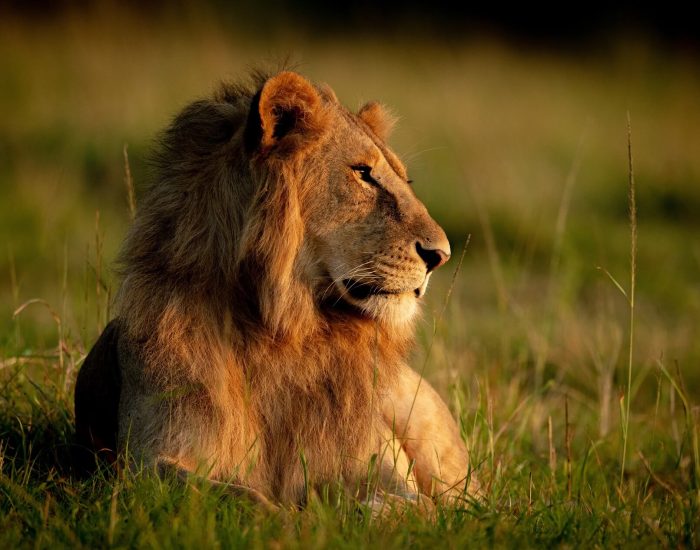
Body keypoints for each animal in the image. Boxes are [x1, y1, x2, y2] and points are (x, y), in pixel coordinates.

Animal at [74, 71, 479, 510]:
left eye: (405, 180)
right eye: (362, 173)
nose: (441, 255)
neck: (288, 328)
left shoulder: (379, 462)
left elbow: (415, 503)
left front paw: (365, 510)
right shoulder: (146, 463)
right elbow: (244, 499)